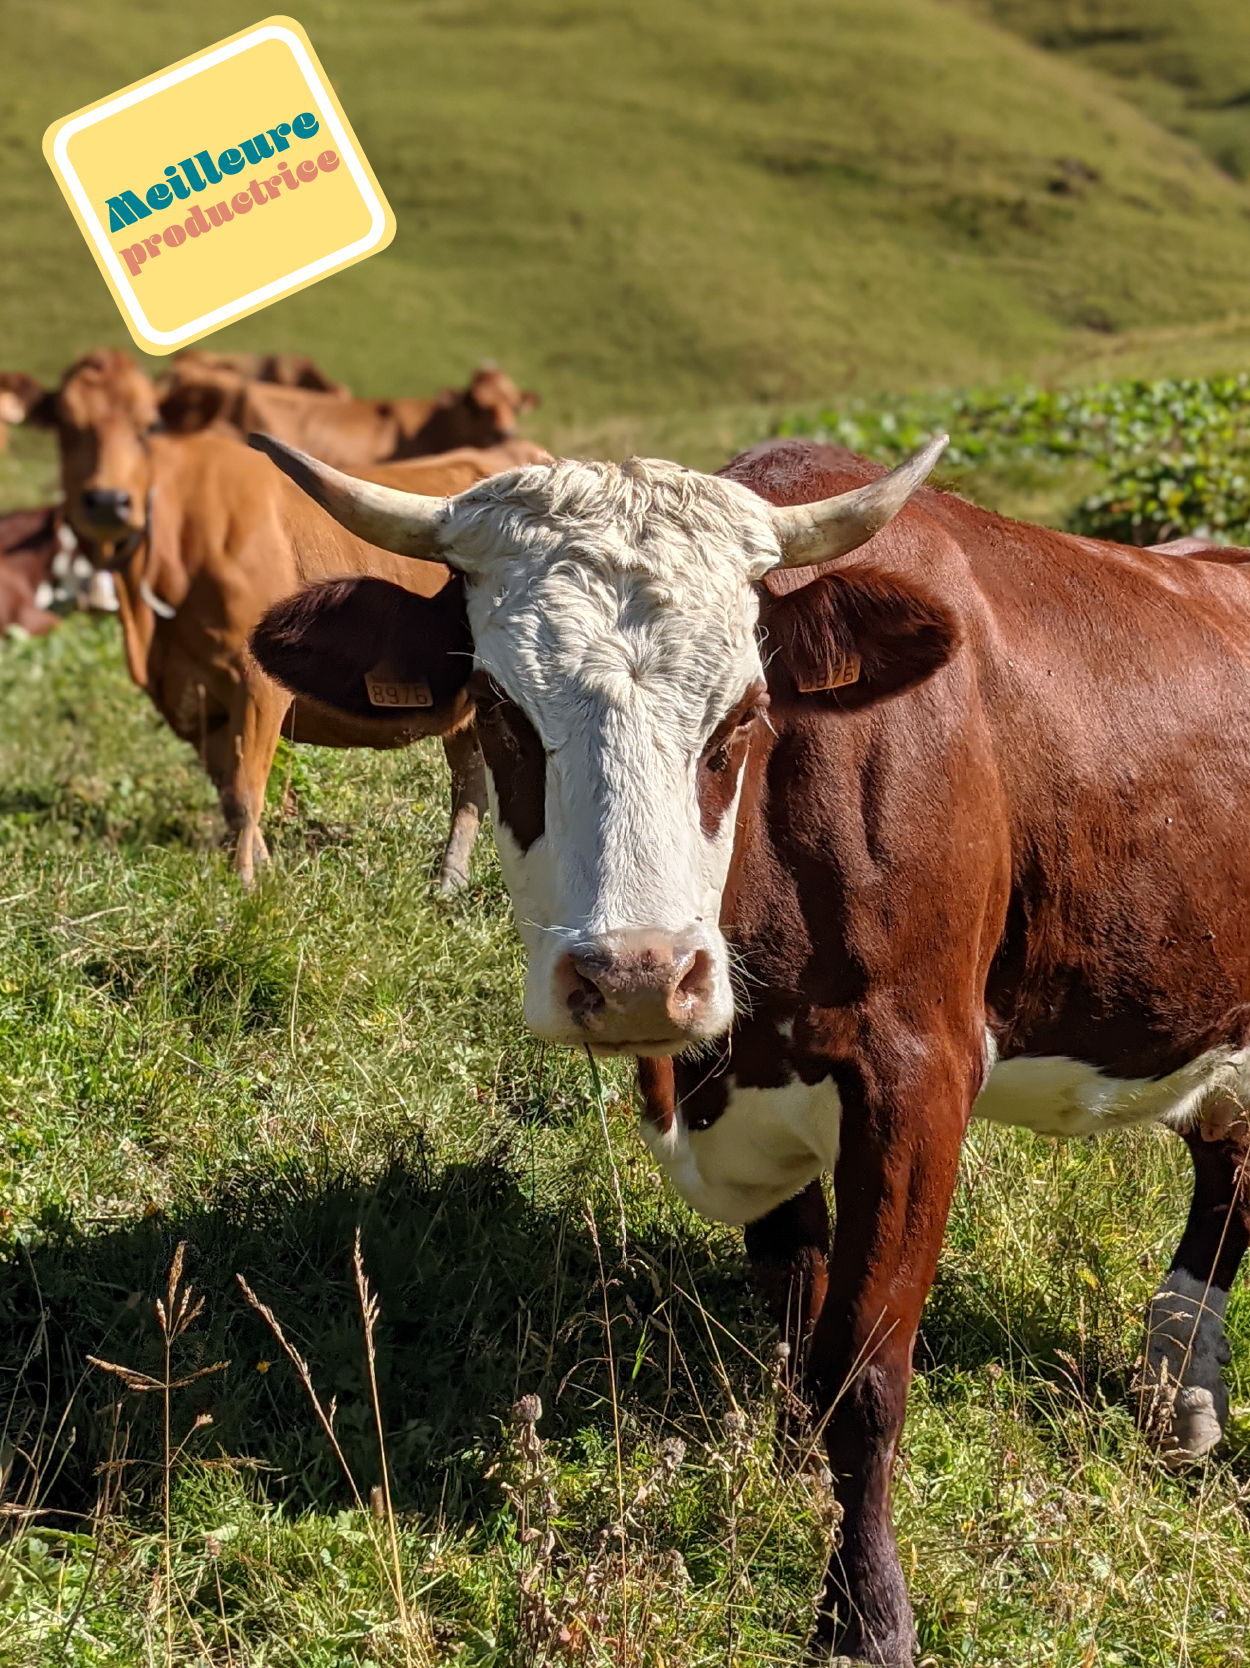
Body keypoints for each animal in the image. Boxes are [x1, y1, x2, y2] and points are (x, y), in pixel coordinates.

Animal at [27, 351, 547, 894]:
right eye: (65, 425)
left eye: (149, 425)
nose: (108, 501)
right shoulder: (196, 701)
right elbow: (230, 794)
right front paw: (264, 869)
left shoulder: (257, 685)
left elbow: (245, 792)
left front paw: (245, 884)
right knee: (470, 784)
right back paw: (449, 883)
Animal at [250, 433, 1248, 1668]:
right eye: (497, 708)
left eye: (742, 716)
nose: (636, 973)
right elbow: (793, 1316)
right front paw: (788, 1475)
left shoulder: (915, 1080)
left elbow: (861, 1370)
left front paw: (865, 1610)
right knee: (1229, 1168)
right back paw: (1180, 1393)